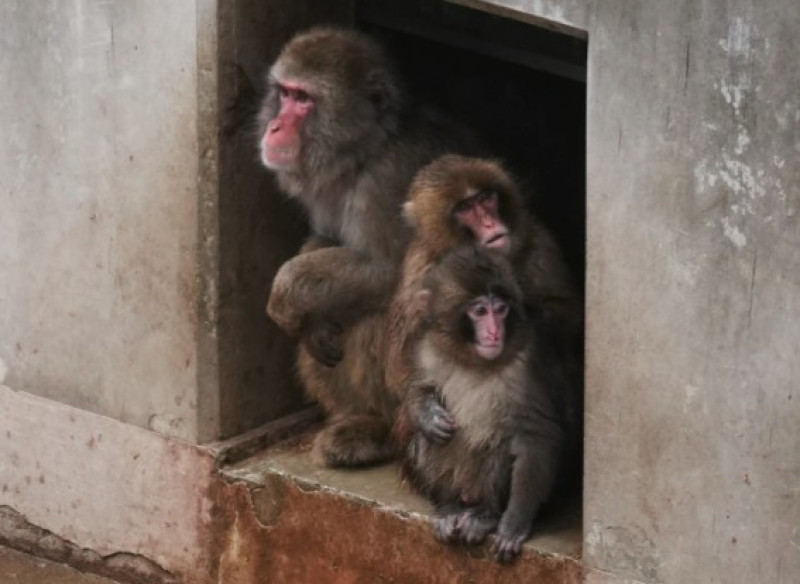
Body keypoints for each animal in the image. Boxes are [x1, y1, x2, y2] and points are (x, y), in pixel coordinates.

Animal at [258, 27, 481, 467]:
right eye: (286, 93)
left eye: (304, 100)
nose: (274, 126)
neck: (365, 152)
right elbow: (326, 240)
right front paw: (313, 321)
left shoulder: (388, 182)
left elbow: (389, 272)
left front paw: (286, 294)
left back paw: (380, 432)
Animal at [395, 245, 569, 562]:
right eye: (479, 311)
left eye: (500, 309)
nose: (494, 332)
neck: (473, 360)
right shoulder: (428, 347)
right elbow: (415, 390)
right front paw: (427, 415)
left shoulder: (528, 363)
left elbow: (538, 435)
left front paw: (514, 522)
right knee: (427, 441)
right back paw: (449, 507)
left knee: (500, 445)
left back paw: (486, 515)